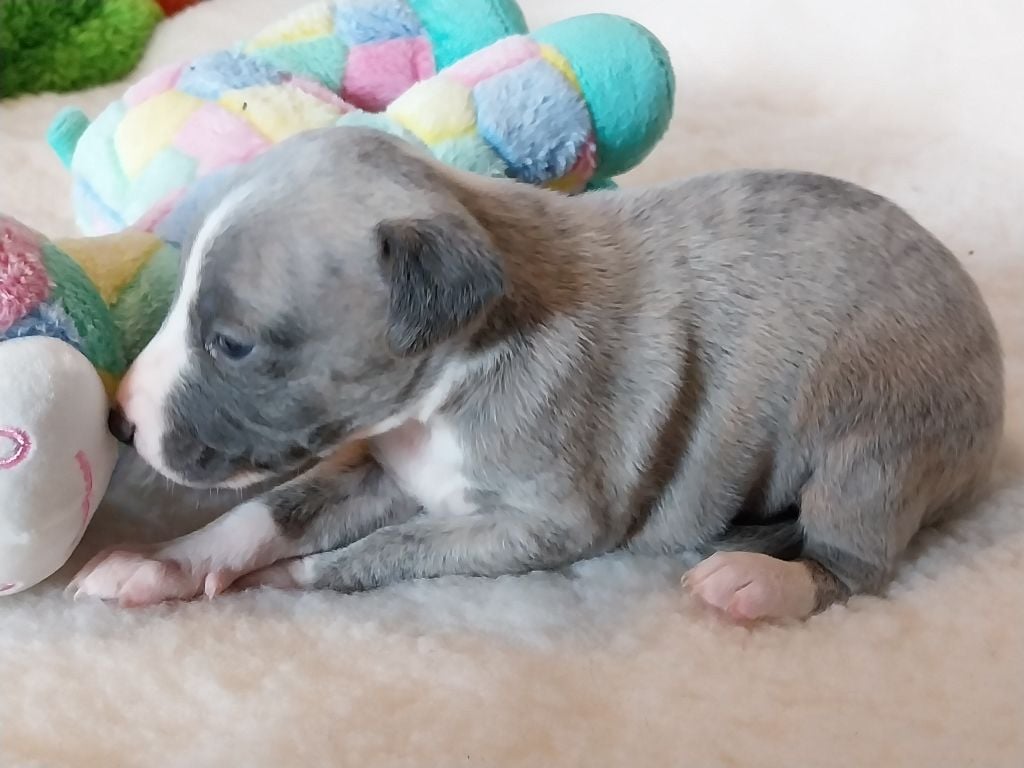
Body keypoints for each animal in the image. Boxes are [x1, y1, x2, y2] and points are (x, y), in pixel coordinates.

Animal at [72, 126, 1004, 620]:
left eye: (232, 344)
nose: (118, 422)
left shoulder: (543, 523)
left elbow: (380, 552)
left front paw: (264, 585)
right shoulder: (388, 465)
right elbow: (272, 510)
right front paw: (164, 564)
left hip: (879, 437)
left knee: (857, 561)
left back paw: (757, 581)